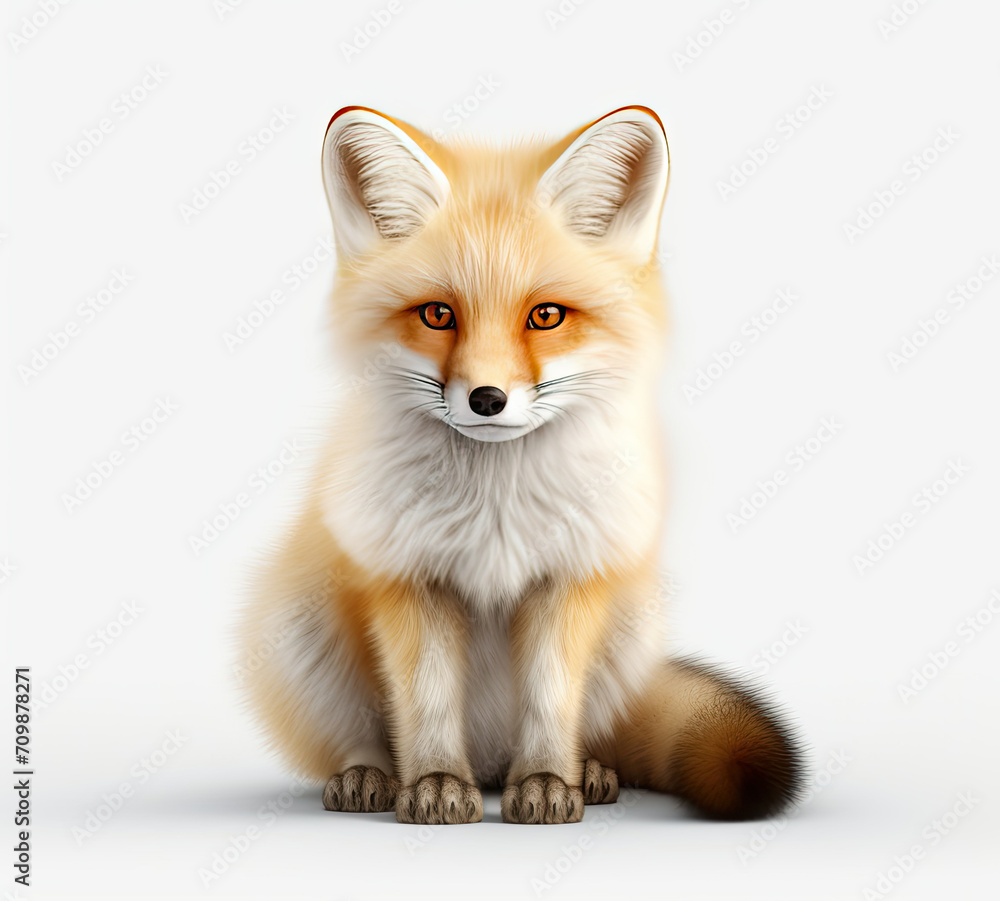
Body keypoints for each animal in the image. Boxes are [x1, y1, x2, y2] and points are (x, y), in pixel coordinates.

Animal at [237, 104, 804, 825]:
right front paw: (432, 782)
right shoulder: (408, 577)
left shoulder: (568, 579)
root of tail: (488, 763)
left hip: (629, 625)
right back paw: (372, 774)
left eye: (546, 315)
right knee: (360, 733)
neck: (495, 512)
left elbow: (551, 699)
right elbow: (424, 701)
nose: (486, 399)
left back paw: (587, 771)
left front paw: (547, 781)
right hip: (297, 626)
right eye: (438, 314)